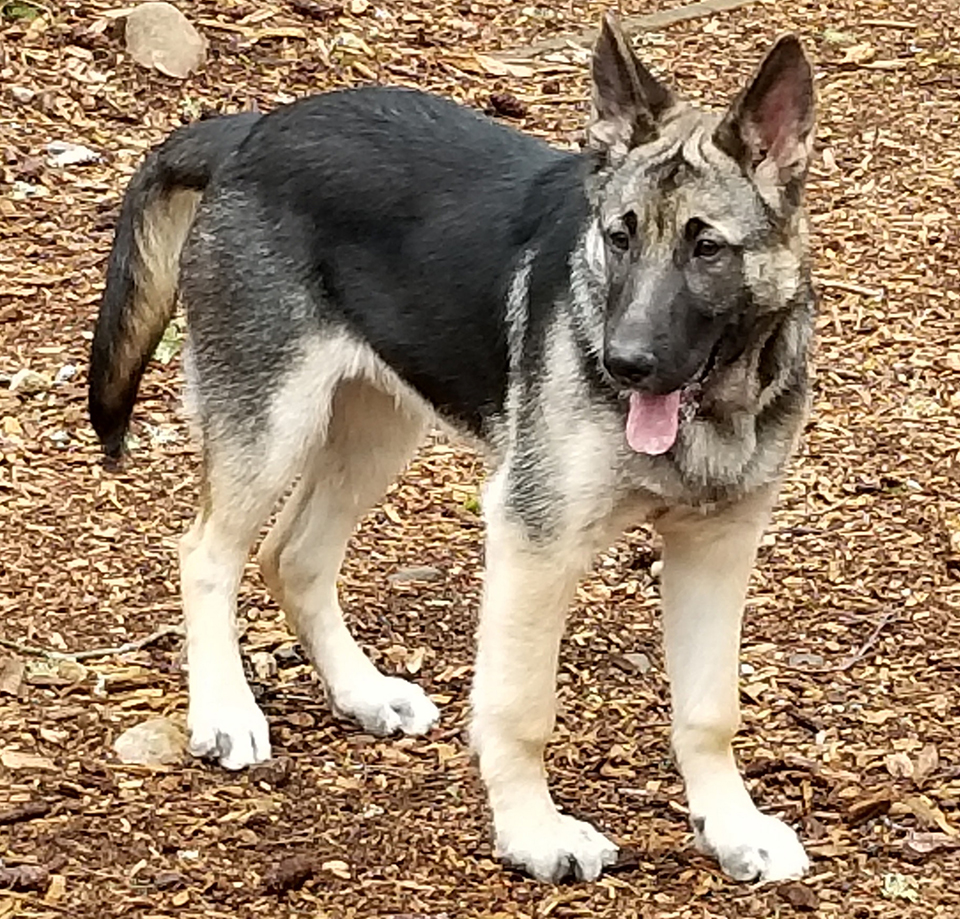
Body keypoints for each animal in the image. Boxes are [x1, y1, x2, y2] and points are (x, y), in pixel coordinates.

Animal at [90, 14, 812, 888]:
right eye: (619, 238)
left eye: (707, 248)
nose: (622, 363)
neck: (718, 396)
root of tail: (253, 129)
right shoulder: (535, 540)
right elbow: (522, 706)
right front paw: (534, 833)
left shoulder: (717, 547)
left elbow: (711, 710)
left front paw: (733, 827)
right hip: (273, 423)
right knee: (207, 552)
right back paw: (226, 710)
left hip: (376, 427)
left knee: (292, 556)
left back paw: (362, 693)